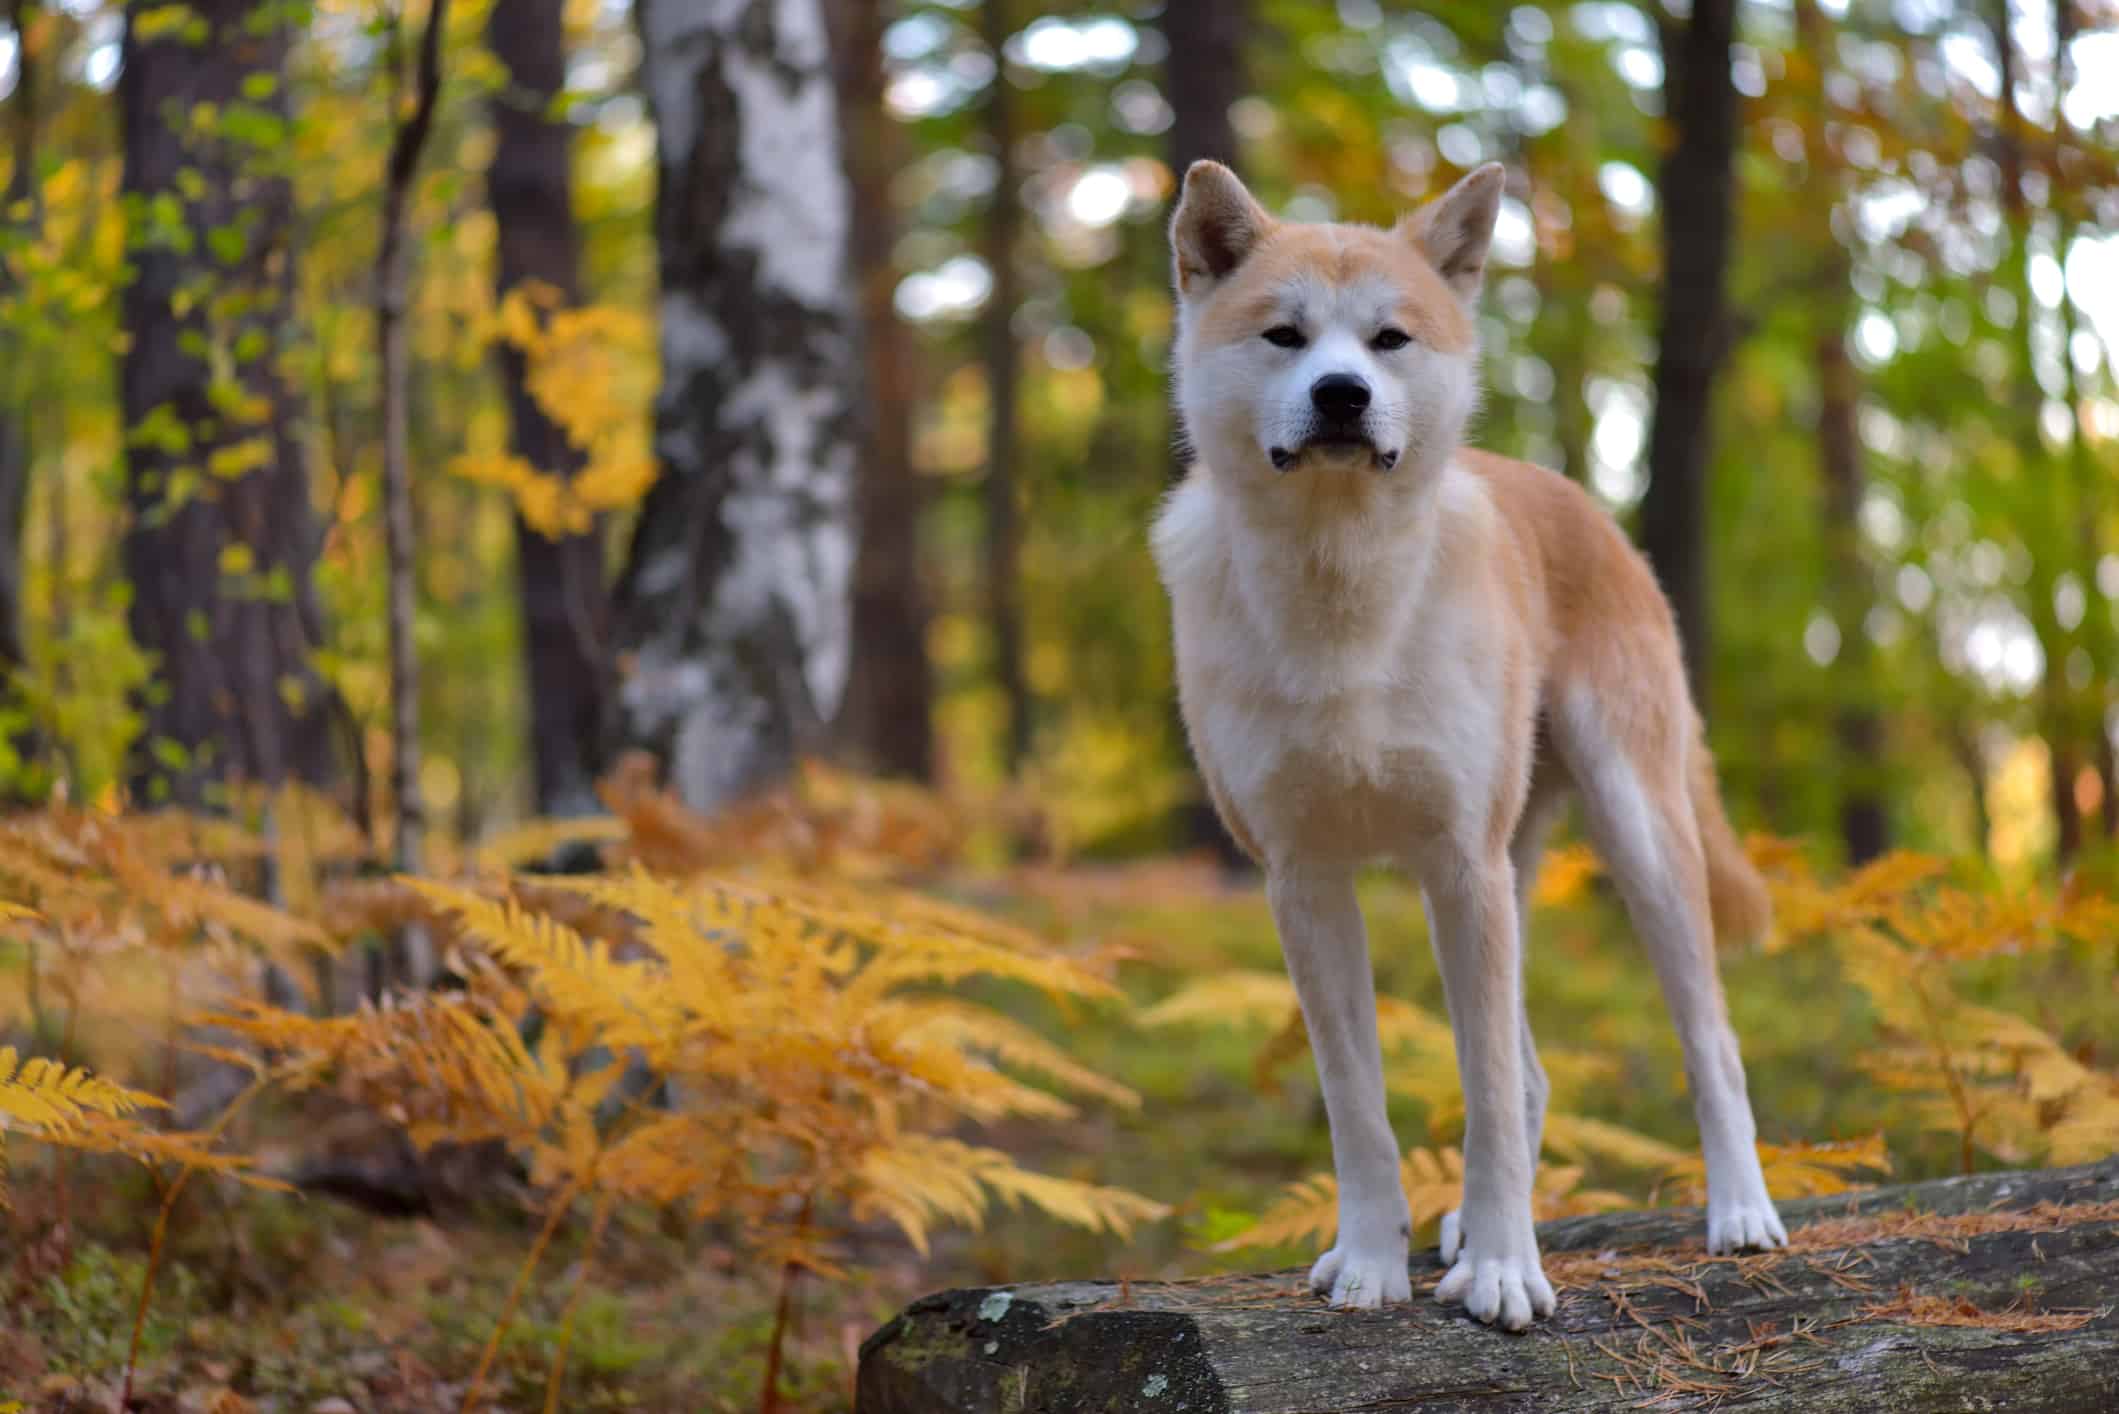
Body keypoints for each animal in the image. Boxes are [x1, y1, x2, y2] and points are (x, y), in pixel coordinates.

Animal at [1161, 160, 1788, 1331]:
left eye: (1389, 339)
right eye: (1284, 335)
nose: (1341, 395)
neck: (1342, 590)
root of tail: (1580, 501)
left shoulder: (1461, 863)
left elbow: (1488, 1097)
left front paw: (1503, 1272)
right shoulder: (1304, 881)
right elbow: (1358, 1108)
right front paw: (1370, 1261)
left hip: (1633, 840)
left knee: (1709, 1046)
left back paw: (1739, 1213)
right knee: (1539, 1072)